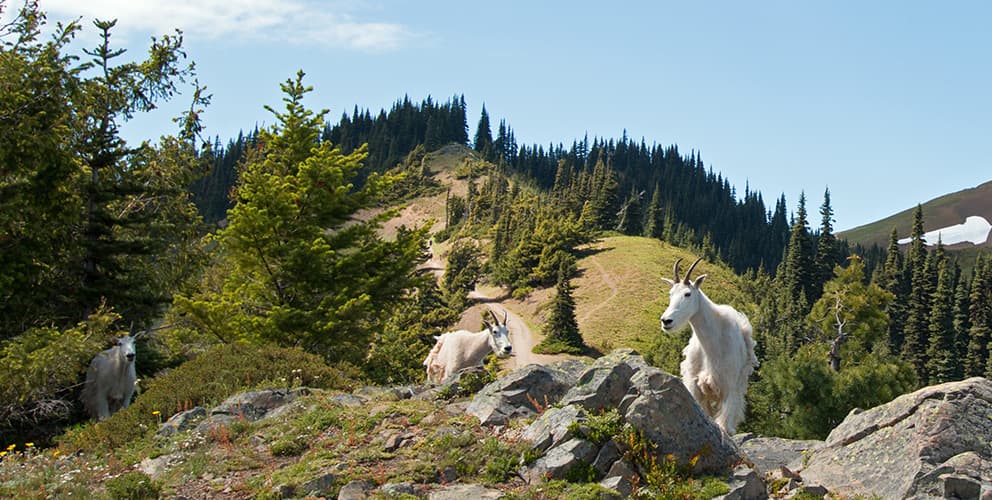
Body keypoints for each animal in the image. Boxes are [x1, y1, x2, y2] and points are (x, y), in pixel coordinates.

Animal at [660, 258, 760, 434]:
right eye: (670, 294)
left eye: (688, 294)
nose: (666, 321)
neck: (711, 344)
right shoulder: (695, 385)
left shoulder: (728, 386)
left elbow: (724, 422)